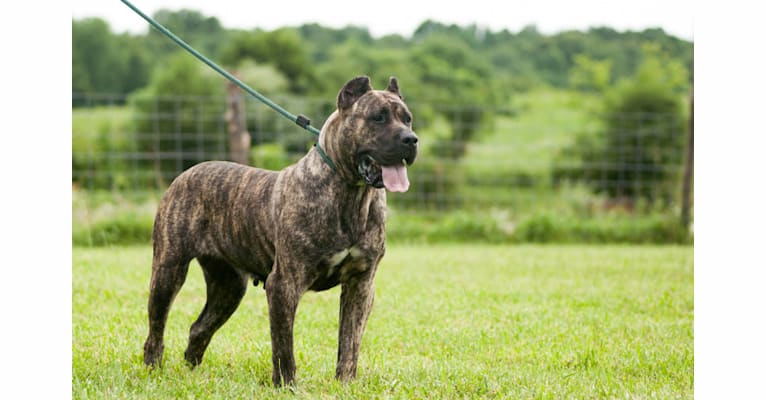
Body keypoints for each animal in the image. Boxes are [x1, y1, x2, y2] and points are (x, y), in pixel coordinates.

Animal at [144, 76, 420, 386]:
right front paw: (286, 385)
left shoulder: (361, 284)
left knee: (199, 327)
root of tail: (186, 173)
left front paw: (345, 383)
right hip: (169, 271)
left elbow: (350, 341)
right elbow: (283, 345)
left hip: (228, 286)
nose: (411, 139)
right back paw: (153, 369)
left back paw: (192, 371)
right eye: (378, 117)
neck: (351, 195)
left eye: (408, 119)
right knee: (156, 327)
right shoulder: (284, 284)